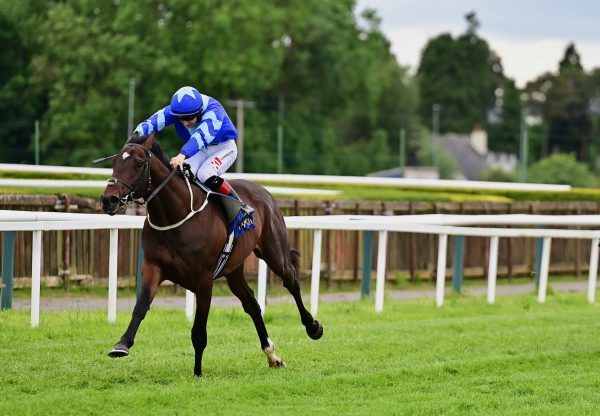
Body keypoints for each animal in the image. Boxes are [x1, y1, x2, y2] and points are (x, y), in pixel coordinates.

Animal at [99, 134, 324, 376]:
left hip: (275, 253)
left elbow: (199, 331)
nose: (109, 200)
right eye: (114, 162)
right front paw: (122, 344)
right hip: (234, 269)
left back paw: (312, 326)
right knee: (252, 304)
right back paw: (272, 355)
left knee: (291, 281)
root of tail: (263, 192)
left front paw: (197, 372)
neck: (175, 215)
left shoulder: (204, 280)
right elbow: (140, 307)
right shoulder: (153, 267)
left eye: (139, 164)